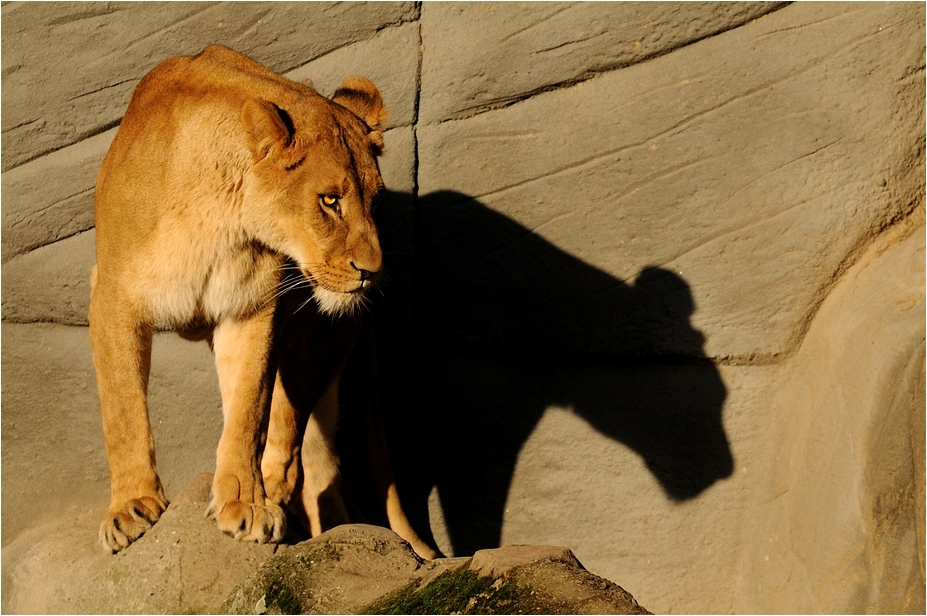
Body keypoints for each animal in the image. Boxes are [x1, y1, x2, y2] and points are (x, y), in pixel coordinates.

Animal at [90, 44, 439, 560]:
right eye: (330, 200)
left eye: (375, 202)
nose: (372, 272)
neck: (219, 213)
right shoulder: (112, 295)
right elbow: (122, 410)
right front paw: (132, 507)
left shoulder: (252, 307)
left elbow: (249, 410)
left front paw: (246, 505)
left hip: (312, 342)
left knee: (301, 454)